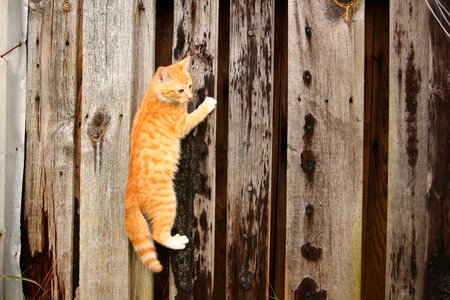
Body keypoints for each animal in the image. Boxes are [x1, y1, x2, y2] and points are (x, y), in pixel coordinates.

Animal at [122, 56, 215, 272]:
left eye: (189, 86)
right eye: (180, 90)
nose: (189, 97)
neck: (156, 96)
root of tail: (129, 194)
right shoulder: (182, 124)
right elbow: (197, 114)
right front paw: (207, 103)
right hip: (168, 202)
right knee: (157, 235)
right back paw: (176, 241)